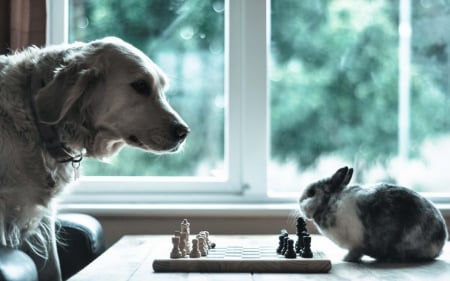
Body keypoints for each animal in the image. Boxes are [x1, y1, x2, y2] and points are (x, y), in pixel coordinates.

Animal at [298, 165, 446, 262]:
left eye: (311, 193)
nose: (299, 203)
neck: (329, 202)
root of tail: (441, 241)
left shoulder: (356, 244)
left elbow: (355, 253)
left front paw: (345, 259)